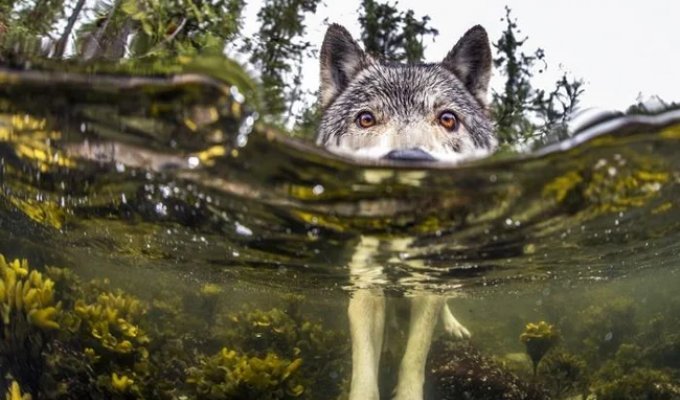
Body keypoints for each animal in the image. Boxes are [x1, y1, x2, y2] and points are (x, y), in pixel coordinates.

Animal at [316, 24, 495, 400]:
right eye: (366, 119)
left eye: (447, 119)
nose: (409, 161)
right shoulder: (366, 288)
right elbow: (364, 369)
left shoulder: (426, 288)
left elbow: (415, 356)